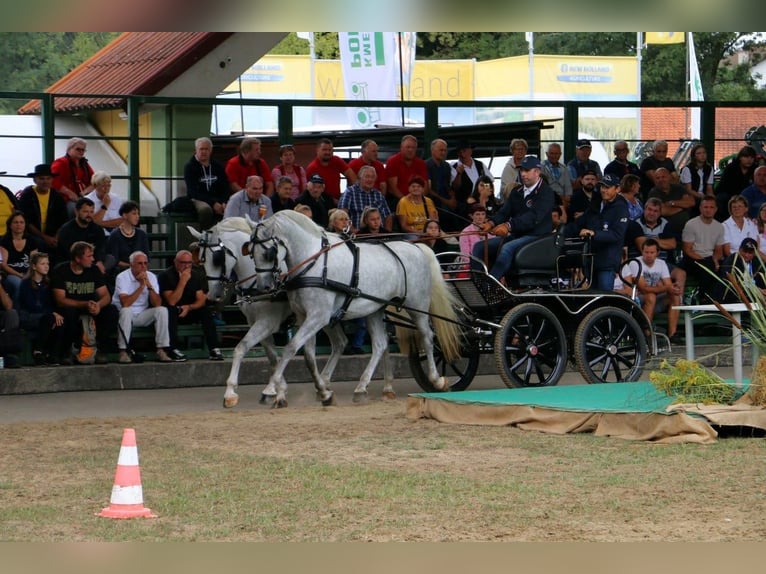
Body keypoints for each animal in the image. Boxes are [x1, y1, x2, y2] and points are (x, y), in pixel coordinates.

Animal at [248, 209, 462, 408]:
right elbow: (308, 355)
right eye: (251, 254)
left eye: (268, 253)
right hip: (375, 309)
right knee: (380, 344)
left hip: (417, 305)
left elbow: (291, 348)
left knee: (427, 336)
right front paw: (323, 392)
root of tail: (417, 247)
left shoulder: (318, 316)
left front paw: (275, 386)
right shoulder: (304, 316)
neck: (314, 263)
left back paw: (436, 380)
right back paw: (362, 388)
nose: (263, 287)